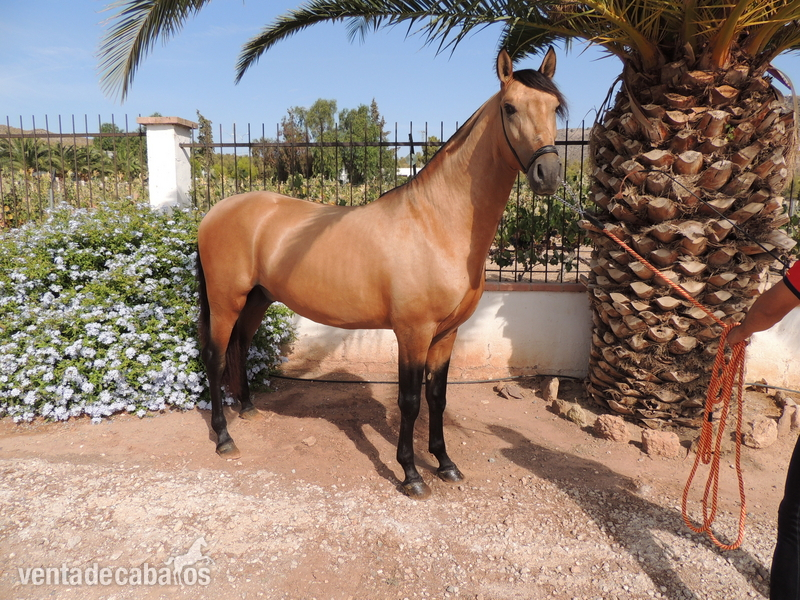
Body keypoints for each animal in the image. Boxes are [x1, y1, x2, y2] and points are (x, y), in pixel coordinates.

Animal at [196, 48, 566, 499]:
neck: (435, 223)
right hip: (225, 300)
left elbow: (438, 397)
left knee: (241, 344)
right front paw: (411, 474)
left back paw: (248, 408)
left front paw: (445, 464)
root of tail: (215, 212)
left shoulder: (446, 334)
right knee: (215, 356)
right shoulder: (413, 332)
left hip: (258, 298)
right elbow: (409, 401)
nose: (548, 174)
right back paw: (224, 438)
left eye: (555, 107)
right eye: (510, 107)